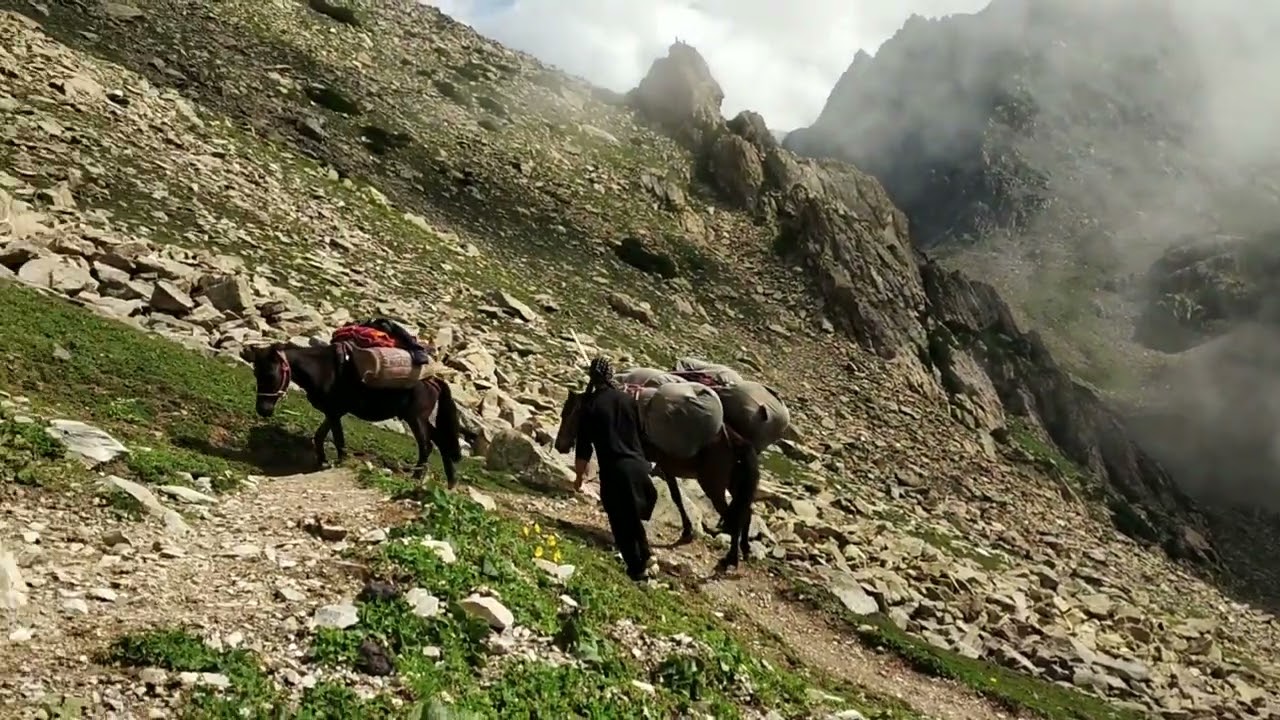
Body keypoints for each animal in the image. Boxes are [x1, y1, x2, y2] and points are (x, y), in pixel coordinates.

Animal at [241, 343, 466, 487]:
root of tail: (434, 380)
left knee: (426, 446)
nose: (263, 410)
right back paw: (451, 482)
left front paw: (340, 462)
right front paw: (322, 461)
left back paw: (417, 478)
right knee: (441, 441)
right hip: (417, 418)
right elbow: (319, 436)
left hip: (416, 418)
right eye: (255, 373)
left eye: (270, 374)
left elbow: (338, 439)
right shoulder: (332, 412)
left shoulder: (334, 412)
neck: (321, 370)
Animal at [554, 388, 762, 571]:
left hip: (713, 486)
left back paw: (731, 560)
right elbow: (676, 496)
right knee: (746, 512)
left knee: (734, 517)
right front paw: (686, 532)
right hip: (734, 485)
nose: (559, 446)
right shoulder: (666, 467)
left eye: (568, 413)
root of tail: (738, 442)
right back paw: (744, 550)